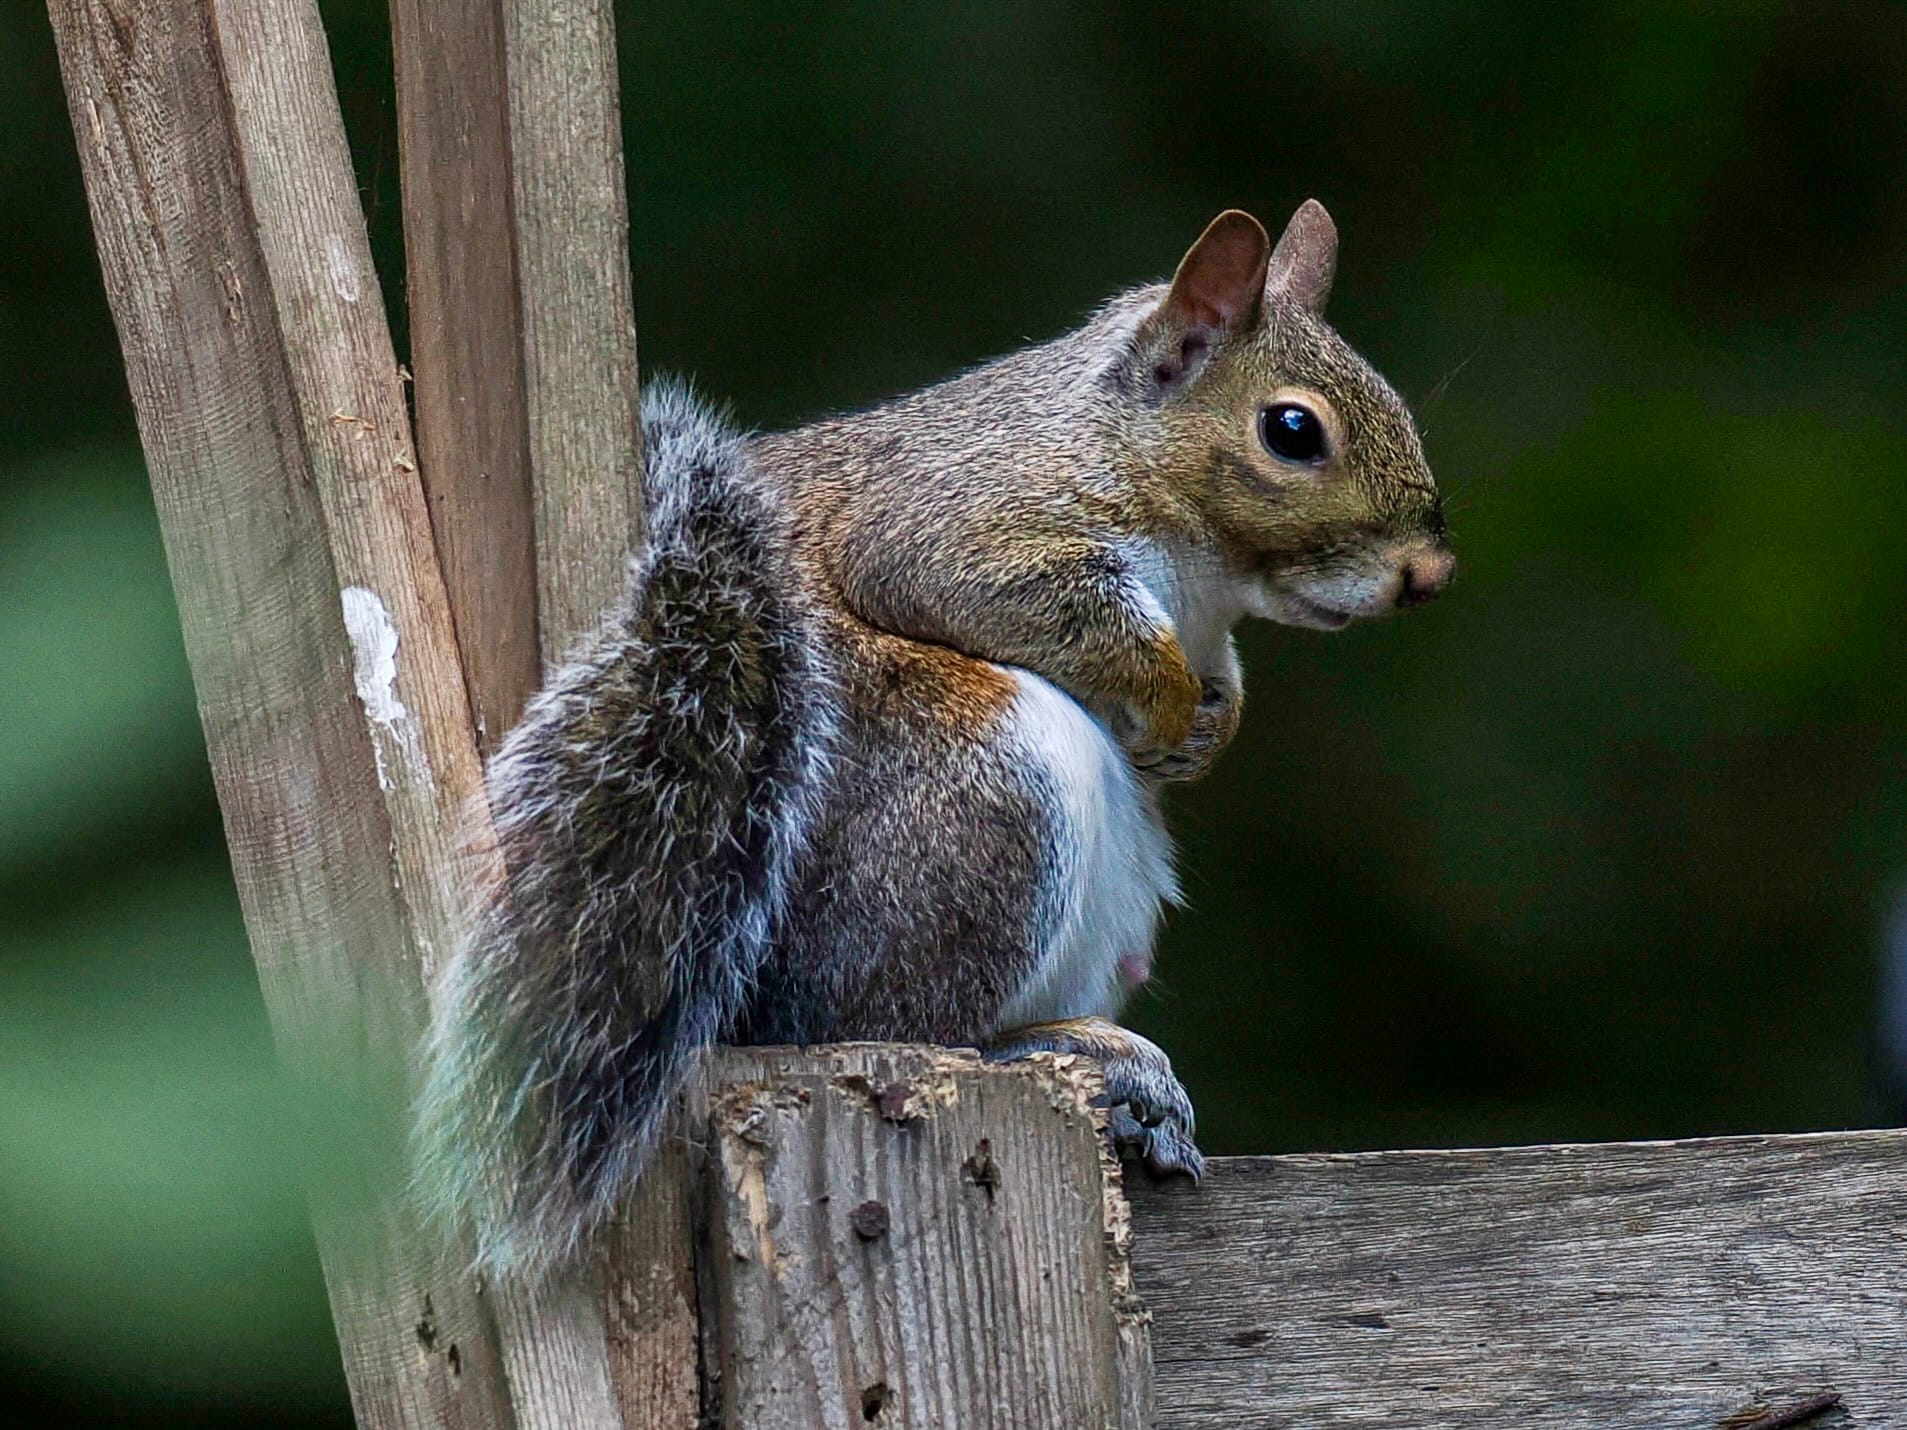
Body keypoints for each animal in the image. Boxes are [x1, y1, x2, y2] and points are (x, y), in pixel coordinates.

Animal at [417, 201, 1454, 1279]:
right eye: (1291, 430)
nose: (1427, 573)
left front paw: (1204, 731)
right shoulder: (953, 521)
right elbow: (1004, 598)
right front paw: (1169, 703)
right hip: (987, 789)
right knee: (882, 1028)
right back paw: (1053, 1048)